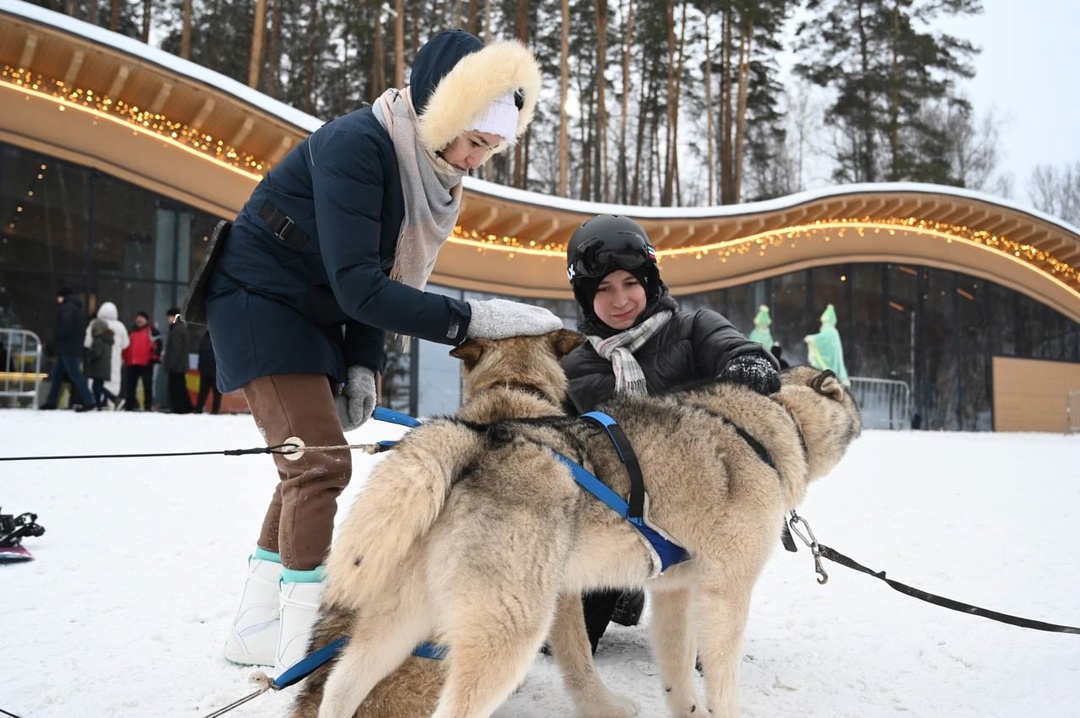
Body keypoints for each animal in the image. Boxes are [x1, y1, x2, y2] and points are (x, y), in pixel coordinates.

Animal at [306, 367, 859, 712]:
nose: (859, 422)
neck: (774, 422)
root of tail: (478, 438)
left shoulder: (676, 595)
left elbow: (680, 677)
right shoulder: (726, 595)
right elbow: (722, 685)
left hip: (402, 620)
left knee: (340, 687)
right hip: (509, 632)